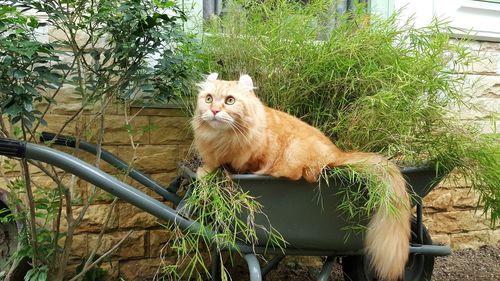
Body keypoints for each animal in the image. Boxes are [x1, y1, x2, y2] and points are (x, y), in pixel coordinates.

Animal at [191, 72, 410, 280]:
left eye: (230, 101)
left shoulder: (254, 158)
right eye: (209, 99)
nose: (214, 111)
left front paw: (209, 172)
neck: (221, 139)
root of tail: (338, 152)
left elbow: (232, 167)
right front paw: (205, 171)